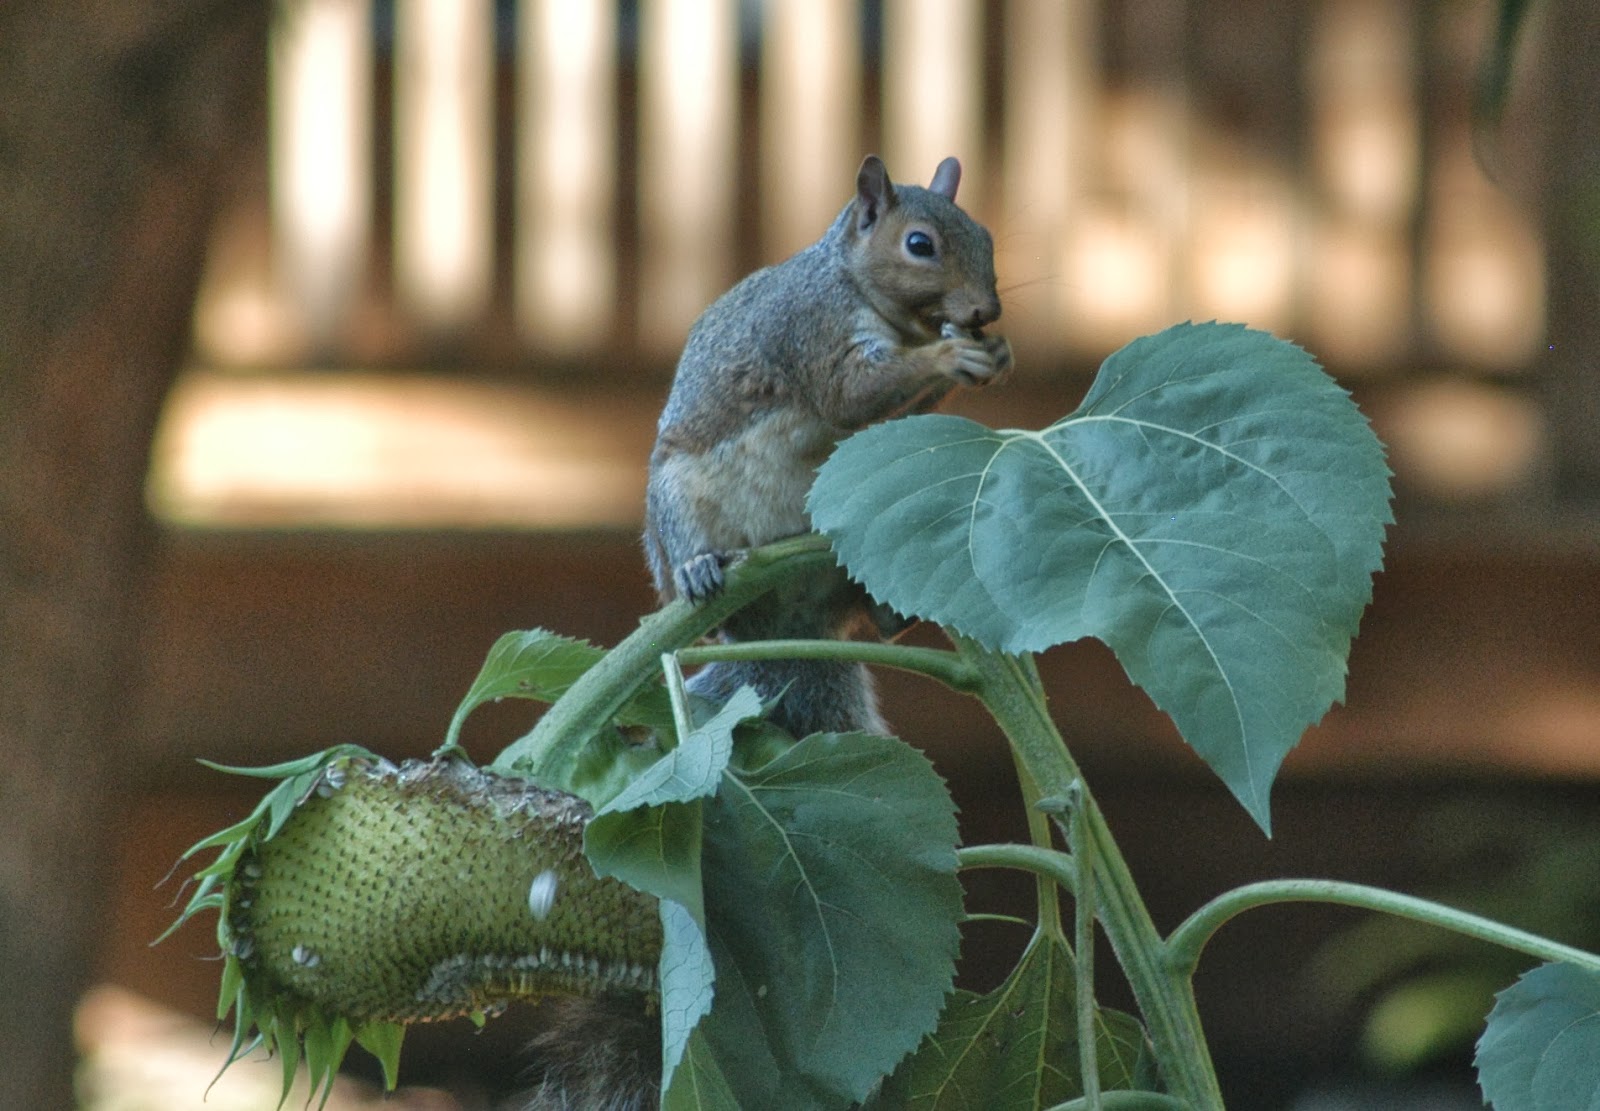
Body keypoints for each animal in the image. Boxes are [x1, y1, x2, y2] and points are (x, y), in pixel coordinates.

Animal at [512, 155, 1010, 1111]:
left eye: (990, 239)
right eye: (920, 244)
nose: (988, 312)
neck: (852, 284)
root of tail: (792, 632)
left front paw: (986, 358)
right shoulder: (812, 336)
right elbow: (850, 393)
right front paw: (952, 353)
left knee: (859, 609)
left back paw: (887, 612)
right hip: (678, 505)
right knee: (702, 565)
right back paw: (706, 573)